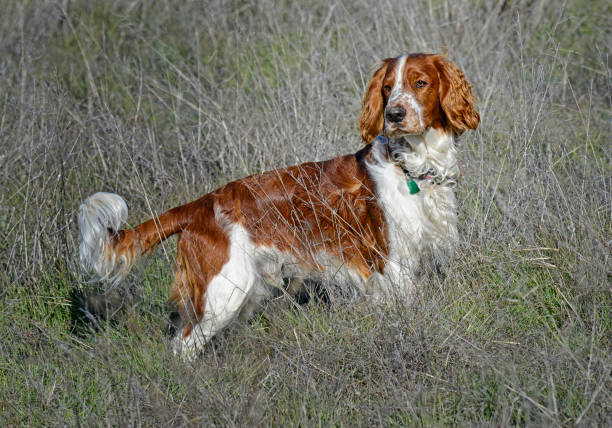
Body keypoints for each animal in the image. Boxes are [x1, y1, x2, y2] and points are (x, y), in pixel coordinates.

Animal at [77, 52, 478, 358]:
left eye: (420, 83)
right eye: (387, 88)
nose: (394, 114)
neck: (412, 165)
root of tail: (201, 205)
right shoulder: (394, 266)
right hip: (224, 291)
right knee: (182, 346)